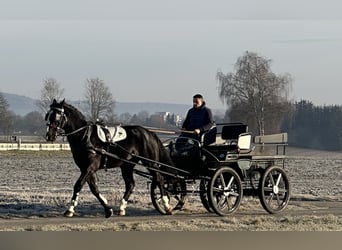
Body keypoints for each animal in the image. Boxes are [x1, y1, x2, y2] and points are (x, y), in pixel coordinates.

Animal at [45, 98, 176, 218]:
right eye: (48, 116)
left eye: (56, 117)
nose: (49, 136)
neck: (85, 136)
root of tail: (149, 133)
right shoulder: (86, 169)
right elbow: (94, 189)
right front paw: (108, 209)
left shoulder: (89, 168)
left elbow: (78, 185)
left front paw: (70, 210)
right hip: (127, 165)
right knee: (131, 184)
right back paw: (122, 208)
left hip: (149, 162)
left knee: (159, 178)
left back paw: (166, 205)